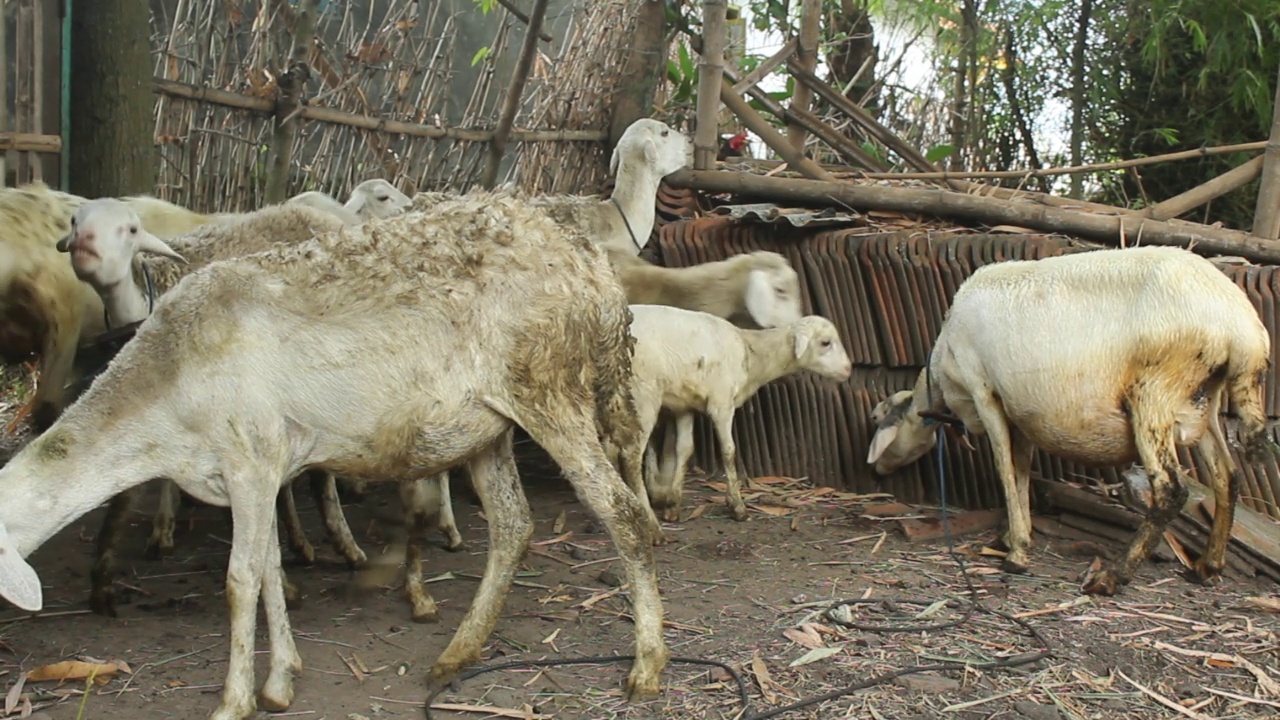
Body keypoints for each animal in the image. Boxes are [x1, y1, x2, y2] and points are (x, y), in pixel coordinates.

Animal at [59, 198, 371, 614]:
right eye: (74, 221)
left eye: (131, 229)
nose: (84, 243)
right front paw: (106, 577)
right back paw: (300, 542)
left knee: (322, 472)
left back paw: (343, 542)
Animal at [624, 302, 855, 527]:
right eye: (825, 342)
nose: (848, 369)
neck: (751, 353)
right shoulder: (722, 403)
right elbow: (729, 451)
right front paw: (737, 507)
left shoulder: (684, 405)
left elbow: (685, 449)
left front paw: (673, 506)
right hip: (642, 396)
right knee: (631, 456)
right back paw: (647, 518)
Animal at [865, 245, 1274, 594]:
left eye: (883, 423)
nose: (878, 473)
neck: (940, 374)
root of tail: (1243, 329)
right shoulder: (1020, 412)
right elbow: (1020, 469)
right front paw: (1011, 536)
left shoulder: (985, 393)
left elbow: (1003, 467)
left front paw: (1016, 554)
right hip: (1203, 404)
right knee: (1226, 477)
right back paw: (1207, 567)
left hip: (1156, 395)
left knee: (1170, 489)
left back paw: (1113, 577)